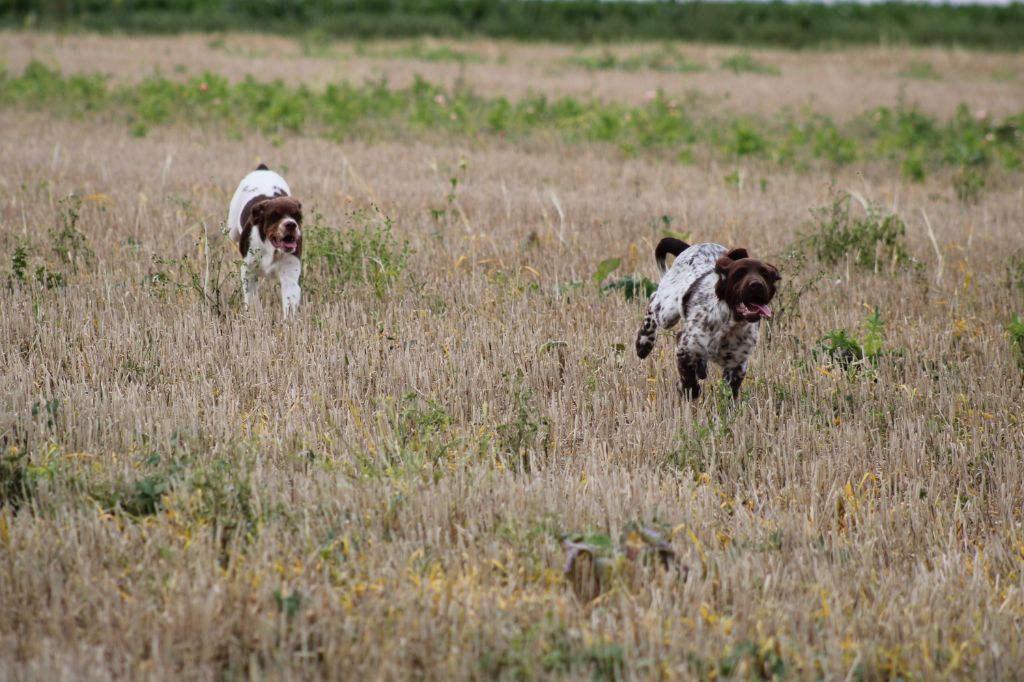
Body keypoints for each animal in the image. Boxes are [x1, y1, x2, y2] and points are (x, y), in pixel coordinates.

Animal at [226, 163, 301, 315]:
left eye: (297, 216)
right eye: (274, 215)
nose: (291, 224)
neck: (272, 249)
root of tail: (262, 169)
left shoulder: (290, 274)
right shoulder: (248, 271)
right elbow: (252, 301)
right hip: (232, 229)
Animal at [634, 238, 778, 399]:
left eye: (765, 274)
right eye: (739, 273)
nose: (757, 285)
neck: (730, 324)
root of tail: (691, 247)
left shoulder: (738, 364)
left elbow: (729, 394)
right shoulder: (684, 347)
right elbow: (690, 384)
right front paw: (685, 388)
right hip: (668, 311)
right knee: (653, 300)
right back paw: (644, 343)